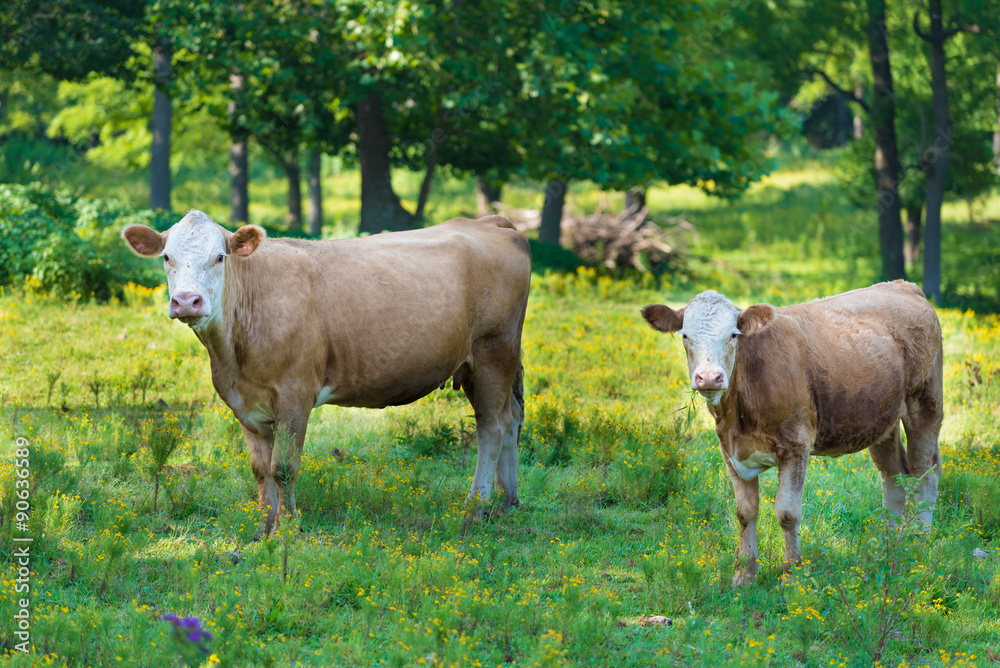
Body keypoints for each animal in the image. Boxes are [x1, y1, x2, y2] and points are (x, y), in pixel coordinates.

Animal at [123, 211, 532, 536]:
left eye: (219, 257)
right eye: (167, 257)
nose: (186, 301)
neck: (233, 357)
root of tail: (489, 221)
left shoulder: (295, 392)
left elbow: (283, 467)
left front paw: (288, 529)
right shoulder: (244, 404)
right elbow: (260, 469)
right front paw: (263, 530)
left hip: (494, 351)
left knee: (493, 427)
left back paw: (475, 508)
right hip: (481, 363)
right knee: (511, 418)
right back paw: (507, 502)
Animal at [644, 282, 940, 584]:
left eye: (733, 334)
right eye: (685, 336)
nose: (709, 377)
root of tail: (903, 286)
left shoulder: (796, 444)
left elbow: (787, 512)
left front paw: (791, 573)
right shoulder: (730, 450)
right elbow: (745, 512)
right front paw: (744, 574)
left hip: (925, 405)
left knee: (924, 476)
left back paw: (919, 545)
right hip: (881, 420)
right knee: (894, 478)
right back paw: (888, 547)